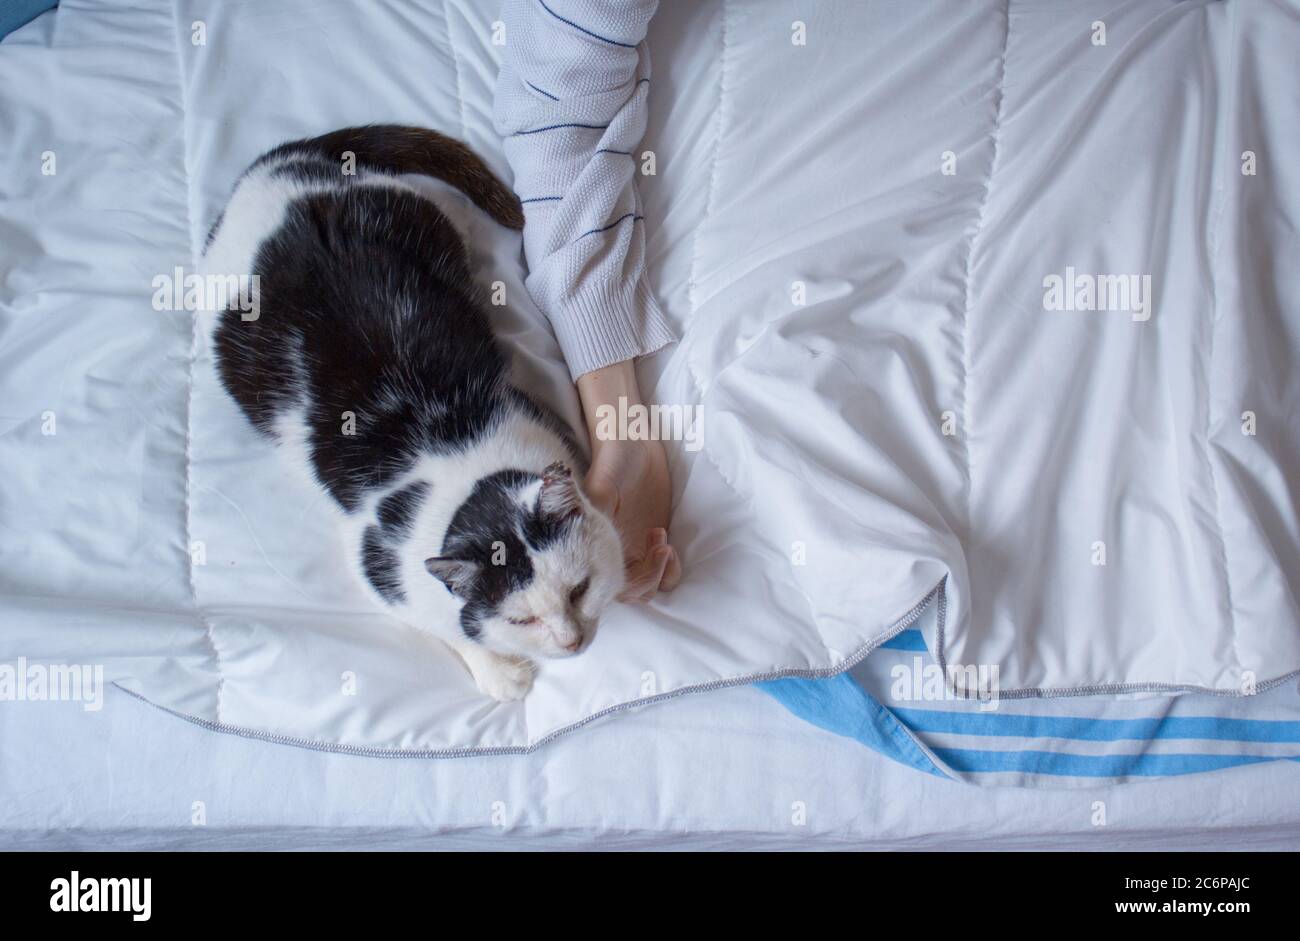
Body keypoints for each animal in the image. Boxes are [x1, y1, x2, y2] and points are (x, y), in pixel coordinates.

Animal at [202, 122, 624, 696]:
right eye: (523, 620)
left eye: (579, 590)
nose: (572, 641)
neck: (462, 464)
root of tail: (275, 166)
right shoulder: (376, 563)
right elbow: (442, 625)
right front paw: (499, 672)